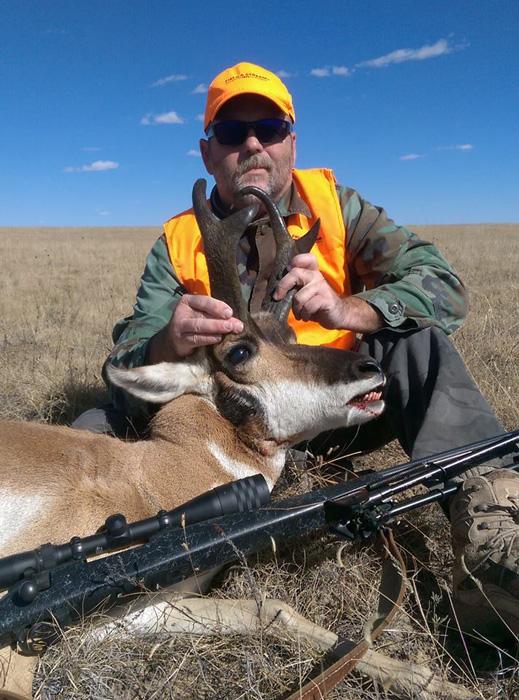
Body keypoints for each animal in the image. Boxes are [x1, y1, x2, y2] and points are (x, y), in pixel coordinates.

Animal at [0, 180, 385, 699]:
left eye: (288, 332)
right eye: (239, 351)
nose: (370, 367)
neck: (153, 473)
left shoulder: (136, 612)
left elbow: (271, 609)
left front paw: (426, 677)